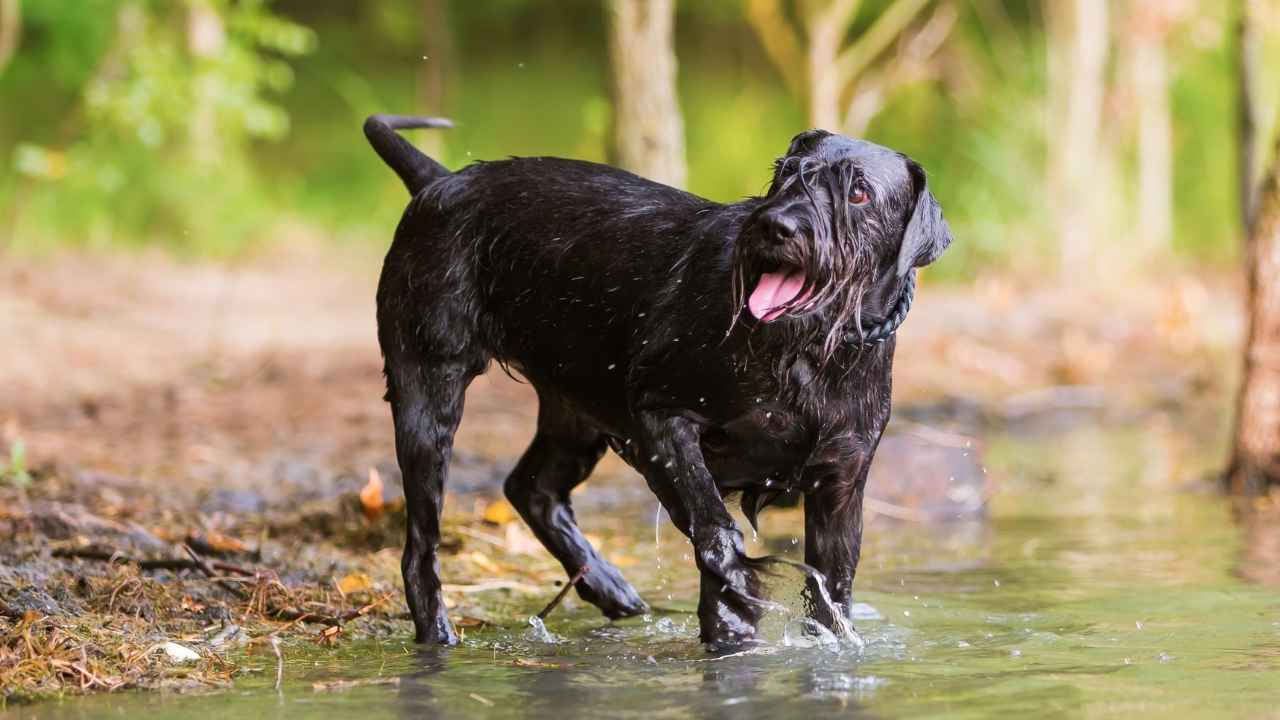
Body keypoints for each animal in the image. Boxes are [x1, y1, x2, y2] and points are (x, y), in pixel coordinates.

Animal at [360, 114, 952, 648]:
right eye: (784, 173)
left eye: (858, 193)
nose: (775, 226)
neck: (803, 353)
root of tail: (439, 181)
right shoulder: (660, 418)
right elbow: (716, 533)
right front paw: (736, 613)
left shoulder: (841, 484)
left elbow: (832, 588)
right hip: (428, 397)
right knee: (421, 548)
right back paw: (439, 636)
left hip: (576, 412)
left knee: (531, 488)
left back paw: (609, 586)